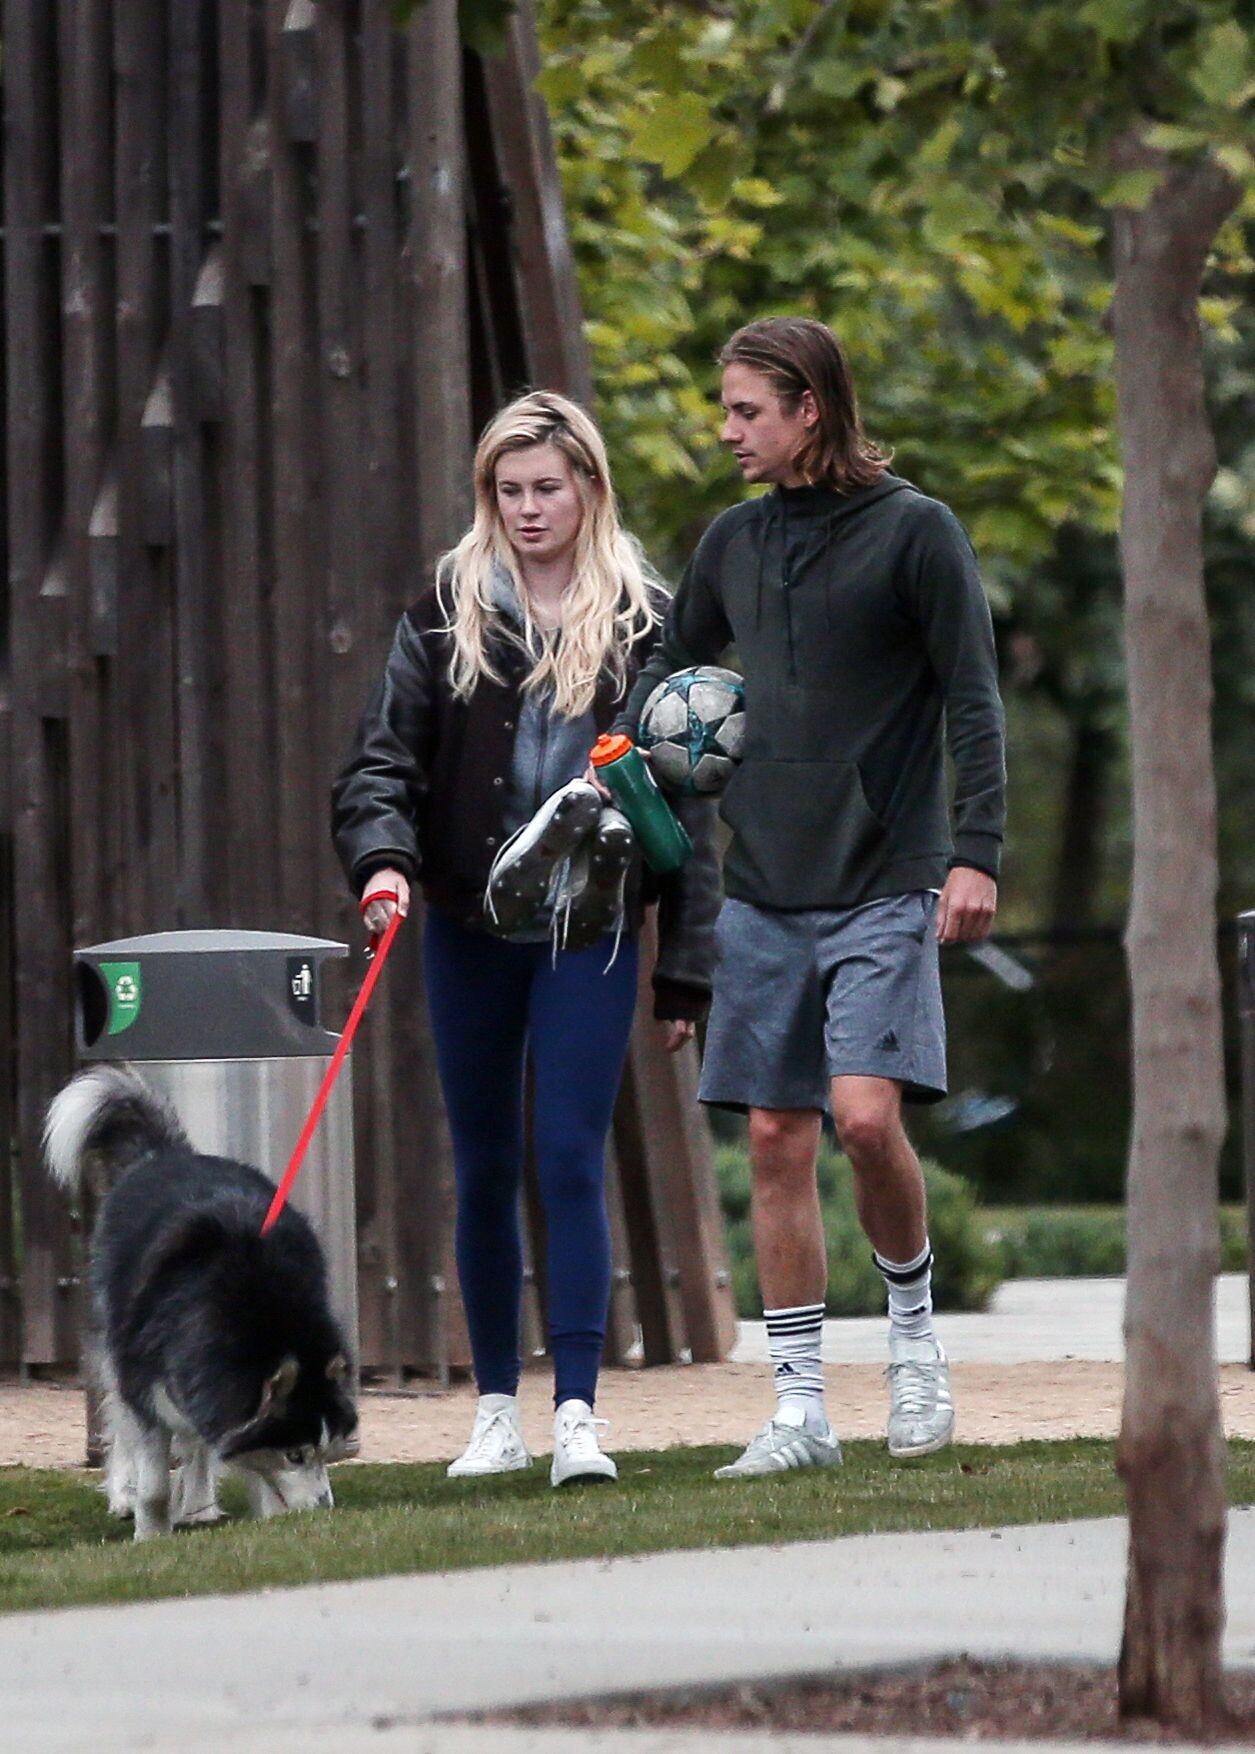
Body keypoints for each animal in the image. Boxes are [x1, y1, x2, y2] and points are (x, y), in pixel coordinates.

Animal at [44, 1065, 358, 1539]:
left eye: (326, 1452)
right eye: (295, 1454)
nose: (325, 1510)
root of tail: (167, 1154)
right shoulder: (148, 1386)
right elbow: (154, 1477)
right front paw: (151, 1534)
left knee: (195, 1443)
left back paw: (196, 1504)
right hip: (115, 1351)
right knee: (122, 1426)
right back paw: (126, 1494)